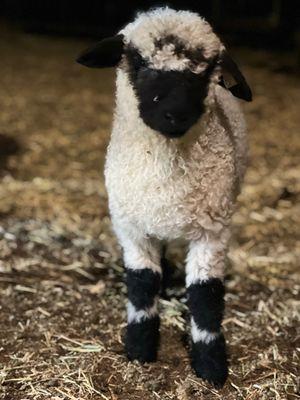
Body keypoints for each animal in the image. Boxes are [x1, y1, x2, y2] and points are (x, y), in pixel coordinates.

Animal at [76, 6, 252, 388]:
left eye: (206, 71)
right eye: (139, 64)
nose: (176, 114)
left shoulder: (212, 231)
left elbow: (205, 295)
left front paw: (211, 365)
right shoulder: (132, 229)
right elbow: (142, 283)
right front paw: (140, 348)